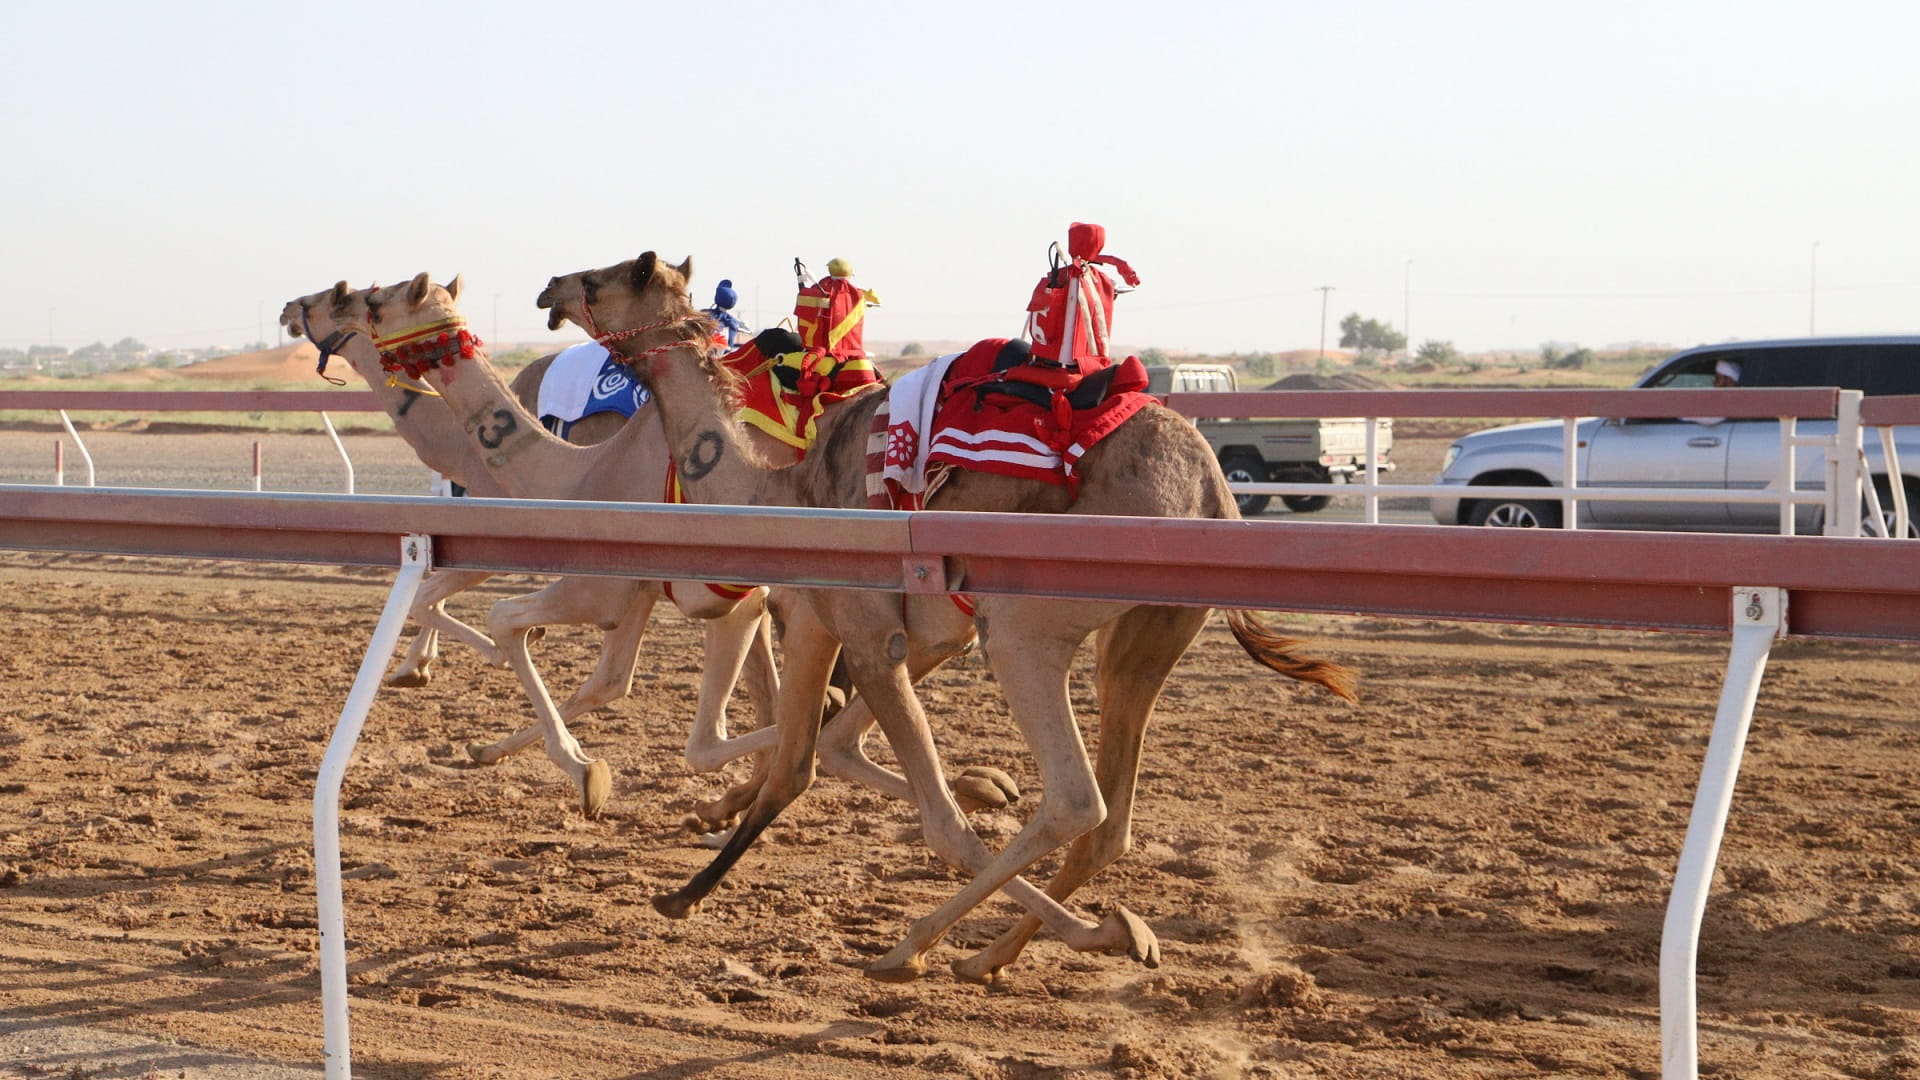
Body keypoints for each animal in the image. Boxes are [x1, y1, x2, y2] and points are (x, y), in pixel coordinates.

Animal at [280, 284, 780, 818]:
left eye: (345, 299)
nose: (289, 308)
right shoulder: (646, 587)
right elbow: (610, 679)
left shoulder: (571, 565)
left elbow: (459, 604)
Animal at [363, 258, 1355, 985]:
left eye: (610, 273)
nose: (548, 288)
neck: (770, 489)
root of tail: (1216, 485)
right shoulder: (817, 619)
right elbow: (798, 764)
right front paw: (683, 890)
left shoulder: (856, 630)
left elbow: (925, 810)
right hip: (1151, 629)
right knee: (1108, 815)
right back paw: (1017, 950)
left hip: (1025, 626)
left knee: (1076, 799)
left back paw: (921, 945)